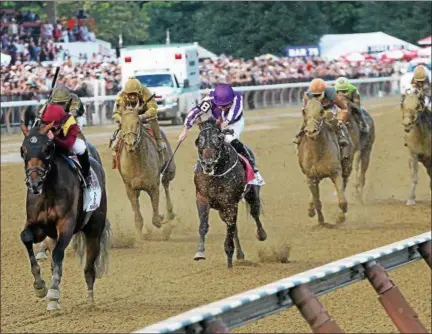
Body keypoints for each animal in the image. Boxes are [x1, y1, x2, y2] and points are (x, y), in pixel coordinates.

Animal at [115, 107, 176, 237]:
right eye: (121, 124)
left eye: (137, 122)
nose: (130, 143)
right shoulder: (130, 188)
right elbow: (137, 212)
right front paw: (139, 235)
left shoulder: (153, 186)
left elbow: (155, 217)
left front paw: (160, 219)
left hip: (170, 170)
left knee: (166, 183)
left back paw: (169, 213)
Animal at [192, 118, 266, 268]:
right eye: (199, 141)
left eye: (218, 140)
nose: (207, 164)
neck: (216, 174)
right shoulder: (202, 198)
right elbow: (203, 225)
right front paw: (200, 252)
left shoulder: (230, 203)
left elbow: (230, 230)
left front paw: (229, 255)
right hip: (222, 210)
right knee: (233, 226)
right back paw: (240, 254)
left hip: (251, 194)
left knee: (254, 213)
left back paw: (261, 234)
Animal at [298, 98, 352, 226]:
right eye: (304, 111)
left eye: (321, 111)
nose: (311, 131)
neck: (318, 153)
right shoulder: (311, 177)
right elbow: (317, 201)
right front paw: (321, 221)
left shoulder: (336, 172)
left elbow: (342, 201)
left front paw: (340, 217)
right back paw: (310, 209)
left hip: (346, 167)